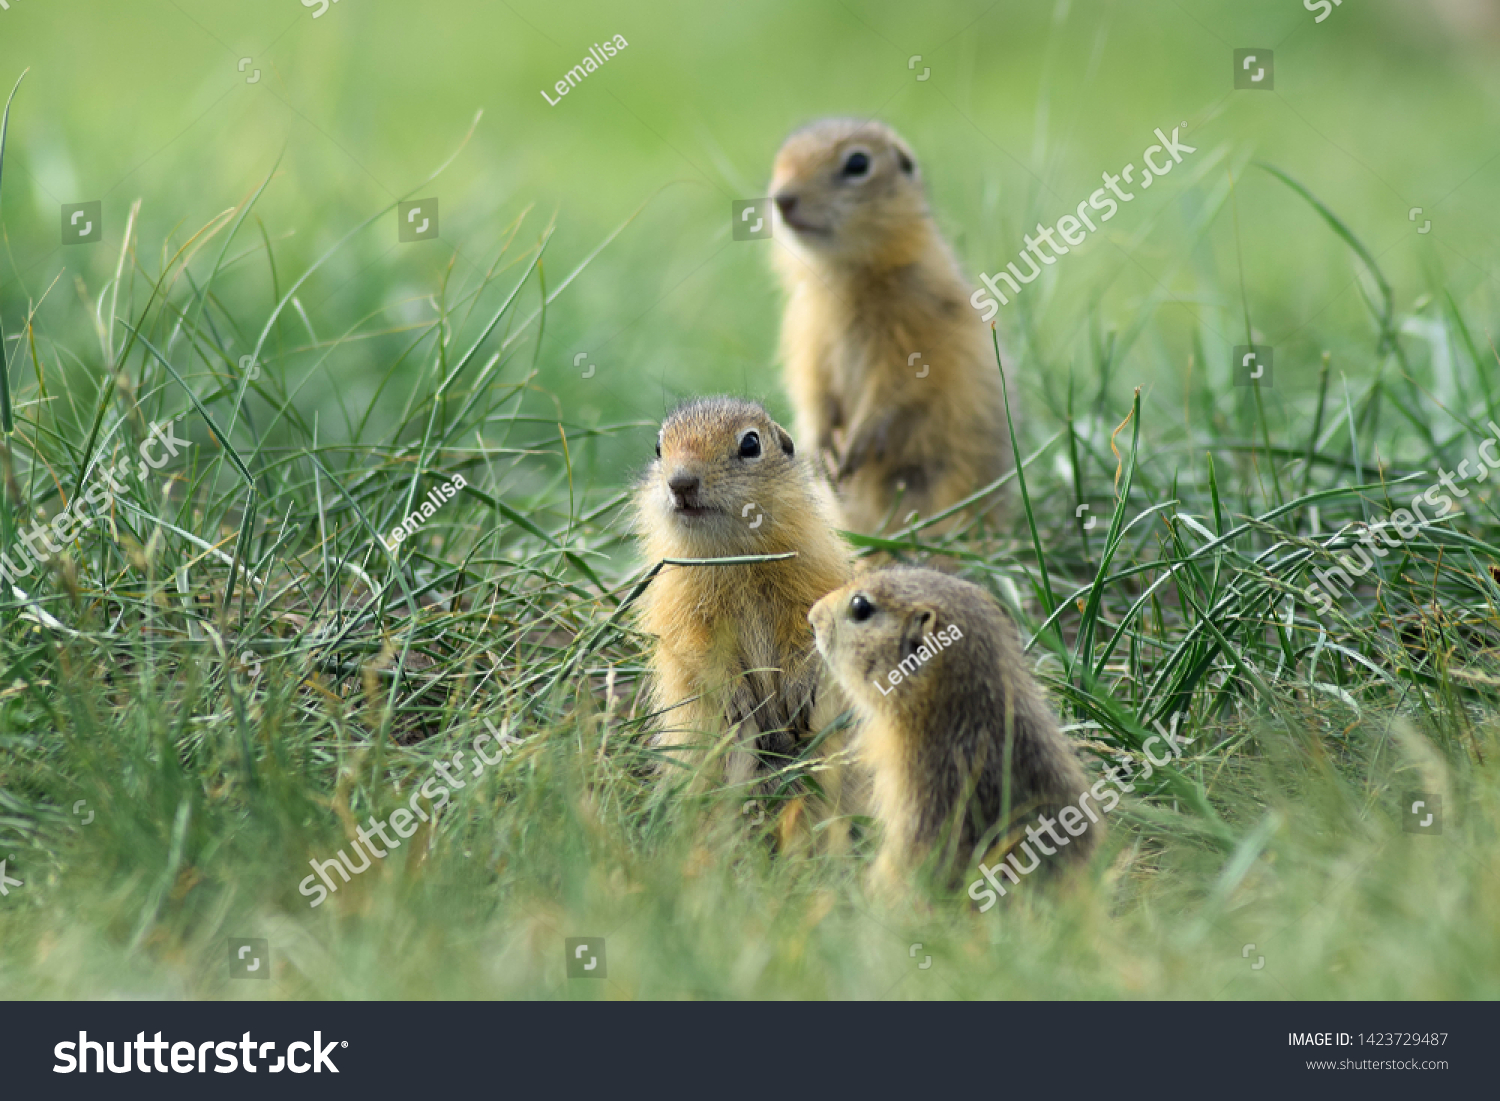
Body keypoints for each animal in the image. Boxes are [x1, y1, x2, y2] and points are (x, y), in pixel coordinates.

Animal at [633, 396, 858, 792]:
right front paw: (738, 701)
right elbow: (697, 646)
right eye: (659, 448)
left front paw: (798, 691)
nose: (680, 482)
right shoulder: (678, 601)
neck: (734, 557)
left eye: (751, 443)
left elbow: (810, 633)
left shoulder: (814, 577)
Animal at [774, 117, 1008, 540]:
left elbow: (897, 384)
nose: (782, 200)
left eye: (857, 164)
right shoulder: (805, 333)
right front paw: (819, 451)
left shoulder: (915, 329)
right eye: (779, 160)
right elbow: (811, 388)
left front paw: (857, 444)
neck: (845, 276)